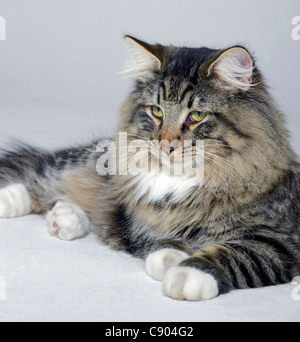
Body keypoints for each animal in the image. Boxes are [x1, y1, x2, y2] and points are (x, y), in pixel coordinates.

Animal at [0, 34, 300, 300]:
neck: (181, 182)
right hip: (92, 164)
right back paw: (11, 201)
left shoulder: (279, 242)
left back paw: (63, 219)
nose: (165, 145)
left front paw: (187, 275)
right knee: (41, 174)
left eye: (197, 116)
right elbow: (164, 242)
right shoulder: (142, 224)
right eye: (157, 111)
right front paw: (171, 262)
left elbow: (232, 254)